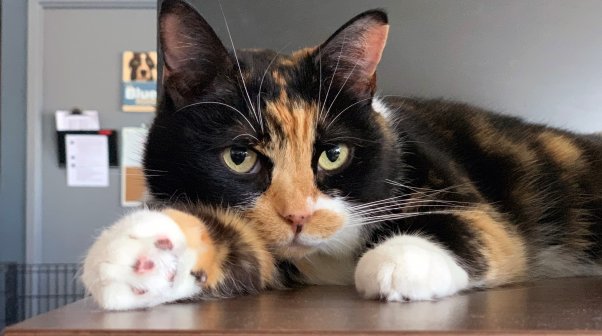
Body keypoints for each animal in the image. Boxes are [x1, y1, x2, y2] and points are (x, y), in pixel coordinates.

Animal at [81, 0, 600, 310]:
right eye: (239, 157)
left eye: (332, 154)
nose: (299, 217)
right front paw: (137, 253)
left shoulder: (457, 188)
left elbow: (475, 224)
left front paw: (401, 258)